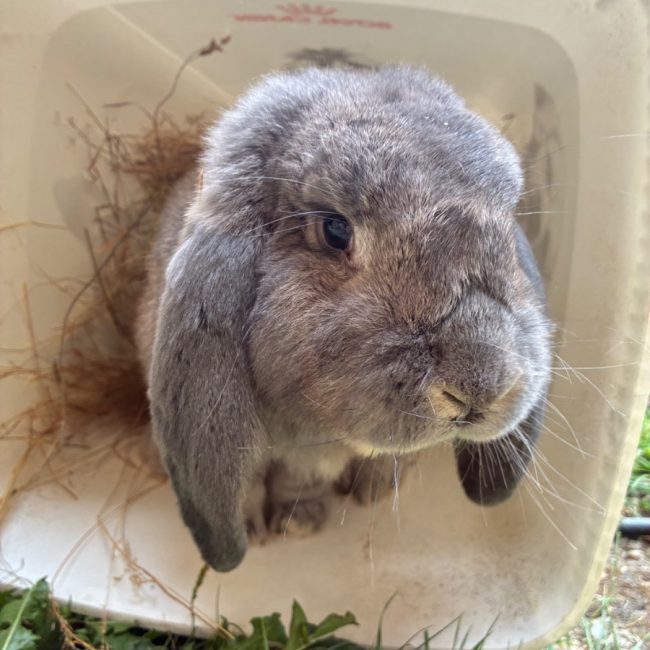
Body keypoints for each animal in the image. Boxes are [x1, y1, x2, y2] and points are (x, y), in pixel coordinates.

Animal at [135, 65, 552, 572]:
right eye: (335, 230)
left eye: (507, 223)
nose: (481, 386)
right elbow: (254, 481)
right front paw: (265, 531)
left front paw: (304, 519)